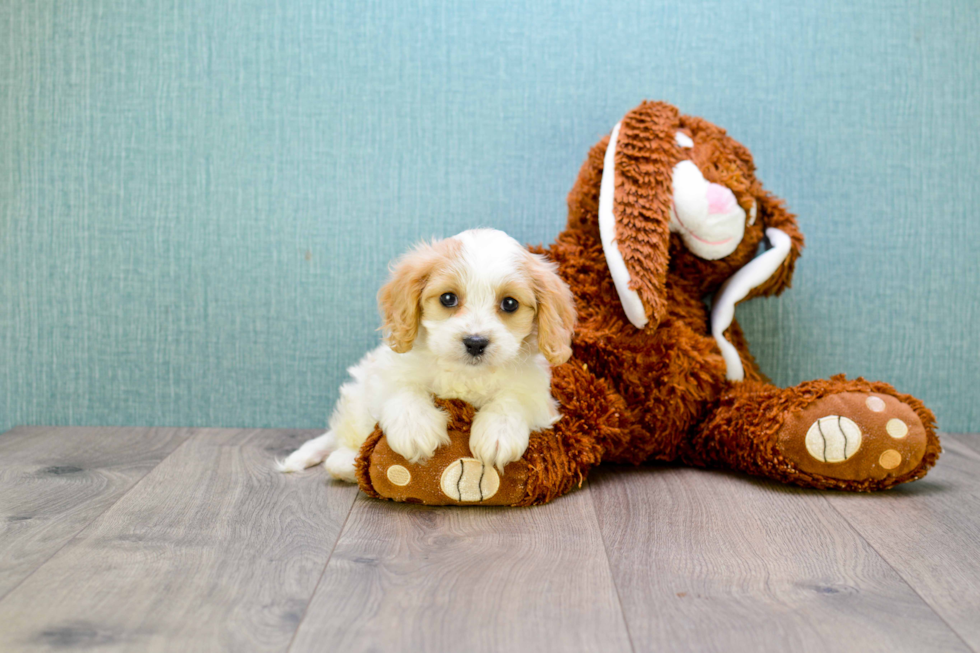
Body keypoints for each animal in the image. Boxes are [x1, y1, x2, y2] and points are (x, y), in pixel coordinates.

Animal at [276, 228, 580, 478]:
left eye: (510, 304)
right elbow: (403, 389)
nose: (475, 342)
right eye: (448, 298)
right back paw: (345, 461)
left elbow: (514, 399)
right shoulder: (384, 372)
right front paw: (415, 429)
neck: (466, 374)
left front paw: (498, 434)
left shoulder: (538, 396)